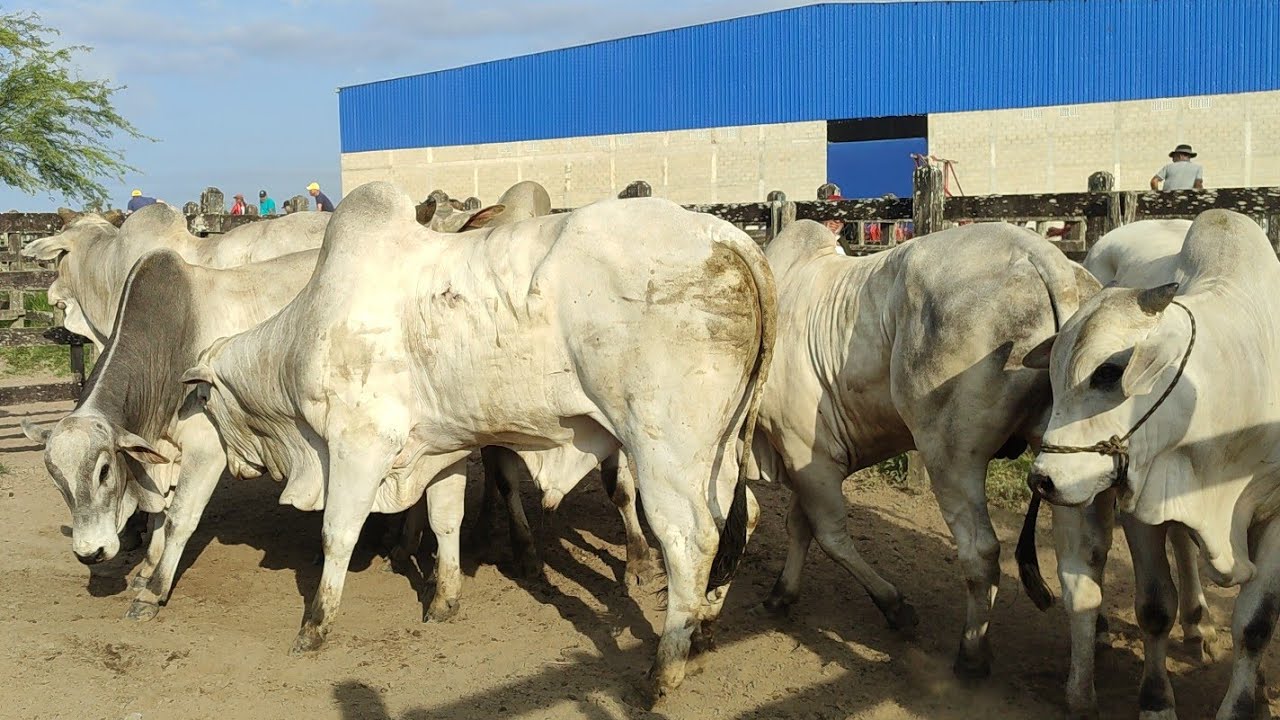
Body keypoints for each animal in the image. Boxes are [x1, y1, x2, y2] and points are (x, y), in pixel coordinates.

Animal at [179, 181, 774, 700]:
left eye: (204, 400)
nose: (237, 467)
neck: (302, 338)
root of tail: (724, 234)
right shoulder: (439, 451)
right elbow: (445, 521)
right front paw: (444, 600)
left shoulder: (359, 445)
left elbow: (337, 535)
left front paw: (315, 628)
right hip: (717, 451)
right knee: (740, 518)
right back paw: (703, 636)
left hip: (663, 450)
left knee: (691, 541)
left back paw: (665, 669)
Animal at [752, 220, 1099, 680]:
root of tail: (1044, 256)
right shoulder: (807, 460)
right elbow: (799, 527)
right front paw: (781, 594)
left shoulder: (804, 453)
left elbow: (829, 535)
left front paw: (895, 607)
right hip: (1075, 467)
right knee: (1082, 559)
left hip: (949, 455)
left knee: (981, 551)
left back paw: (971, 656)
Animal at [1026, 209, 1280, 720]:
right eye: (1053, 377)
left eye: (1107, 373)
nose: (1043, 478)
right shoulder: (1142, 500)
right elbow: (1155, 607)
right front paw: (1157, 700)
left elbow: (1256, 624)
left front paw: (1246, 701)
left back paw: (1205, 629)